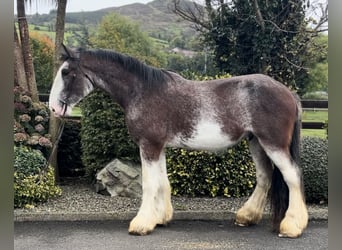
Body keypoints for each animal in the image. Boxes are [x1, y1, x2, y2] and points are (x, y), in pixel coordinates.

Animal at [49, 44, 308, 237]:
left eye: (65, 72)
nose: (52, 108)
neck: (142, 91)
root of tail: (289, 93)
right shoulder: (158, 147)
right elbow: (163, 182)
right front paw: (160, 218)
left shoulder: (149, 145)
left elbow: (149, 184)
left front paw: (141, 224)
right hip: (256, 142)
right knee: (265, 177)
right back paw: (247, 217)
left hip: (273, 143)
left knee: (292, 176)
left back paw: (292, 226)